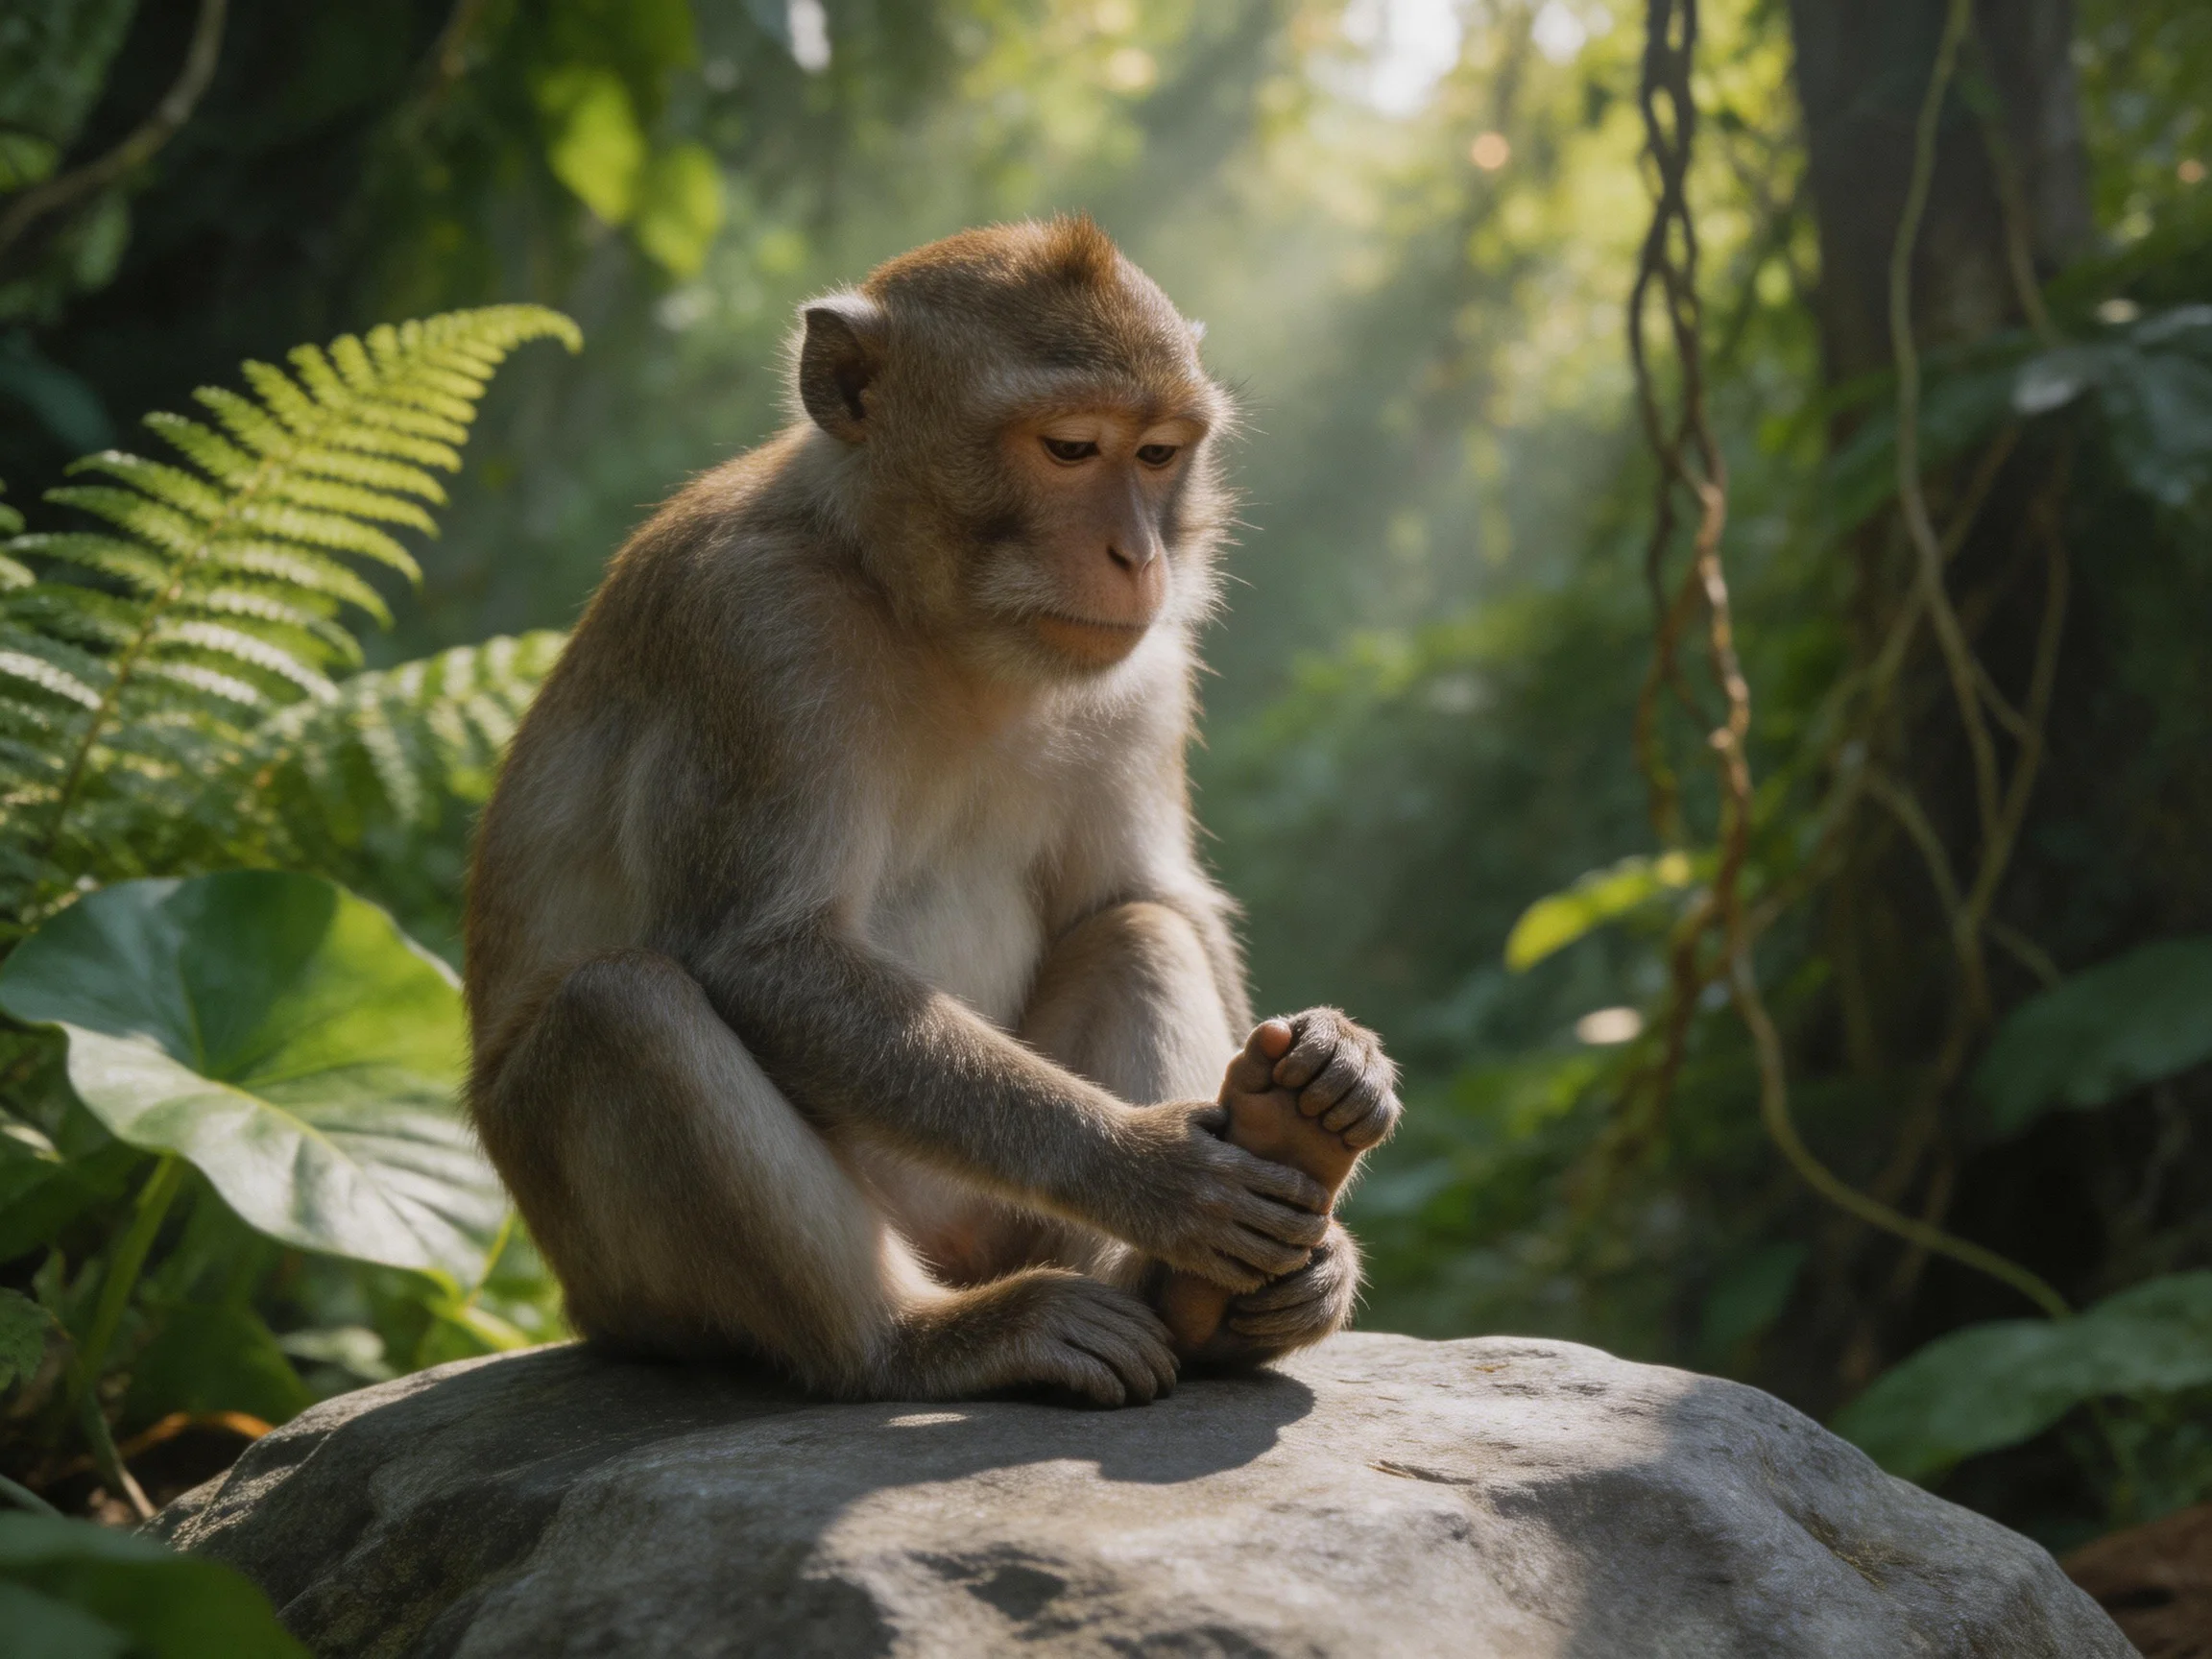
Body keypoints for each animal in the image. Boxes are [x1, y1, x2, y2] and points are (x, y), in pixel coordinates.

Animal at [463, 216, 1402, 1408]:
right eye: (1069, 449)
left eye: (1156, 455)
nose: (1138, 556)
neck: (930, 619)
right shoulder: (755, 633)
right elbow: (762, 953)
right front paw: (1150, 1173)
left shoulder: (1145, 669)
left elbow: (1147, 894)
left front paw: (1334, 1124)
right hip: (629, 1284)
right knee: (619, 1011)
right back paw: (926, 1340)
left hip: (998, 1220)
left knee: (1138, 932)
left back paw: (1213, 1295)